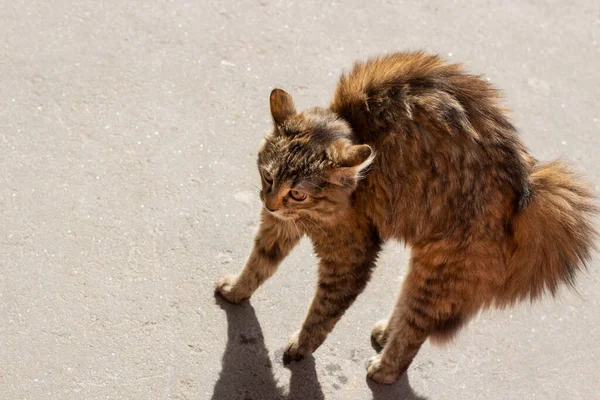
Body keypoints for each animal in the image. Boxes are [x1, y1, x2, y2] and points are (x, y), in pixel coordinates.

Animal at [214, 51, 596, 382]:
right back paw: (386, 333)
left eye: (298, 193)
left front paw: (302, 345)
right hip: (426, 265)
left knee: (416, 329)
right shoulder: (279, 227)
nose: (270, 204)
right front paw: (236, 290)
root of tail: (525, 187)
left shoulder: (350, 255)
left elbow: (323, 311)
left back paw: (385, 368)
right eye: (268, 177)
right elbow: (259, 264)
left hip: (439, 269)